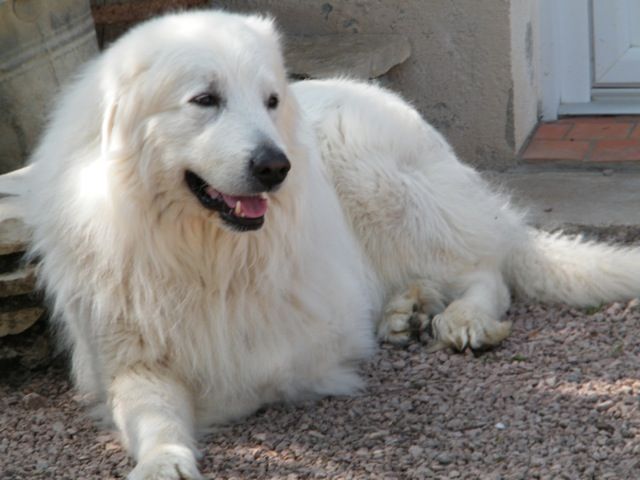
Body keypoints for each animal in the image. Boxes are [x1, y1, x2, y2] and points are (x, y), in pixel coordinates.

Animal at [5, 8, 640, 480]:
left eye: (270, 101)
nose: (276, 166)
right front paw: (165, 459)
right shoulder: (124, 359)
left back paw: (463, 319)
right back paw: (406, 311)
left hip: (372, 177)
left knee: (487, 268)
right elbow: (151, 410)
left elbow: (239, 375)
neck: (198, 251)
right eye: (205, 99)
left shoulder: (308, 342)